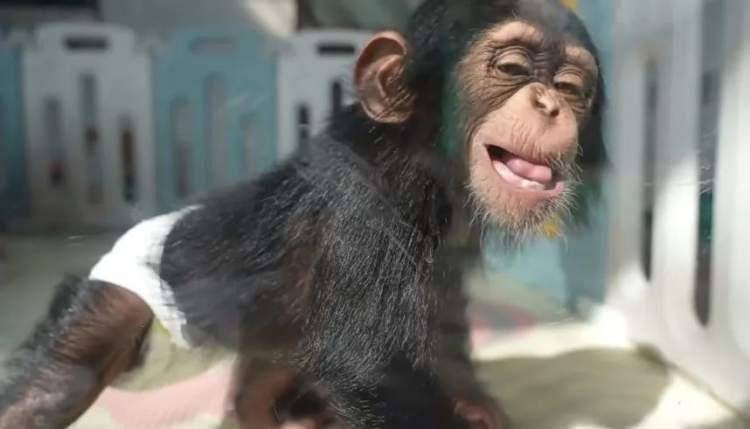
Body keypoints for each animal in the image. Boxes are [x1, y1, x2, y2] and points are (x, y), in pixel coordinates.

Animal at [0, 1, 606, 428]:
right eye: (513, 67)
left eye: (571, 87)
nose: (549, 103)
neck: (422, 162)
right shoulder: (359, 210)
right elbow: (372, 370)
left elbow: (444, 317)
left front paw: (477, 402)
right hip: (120, 298)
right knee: (55, 383)